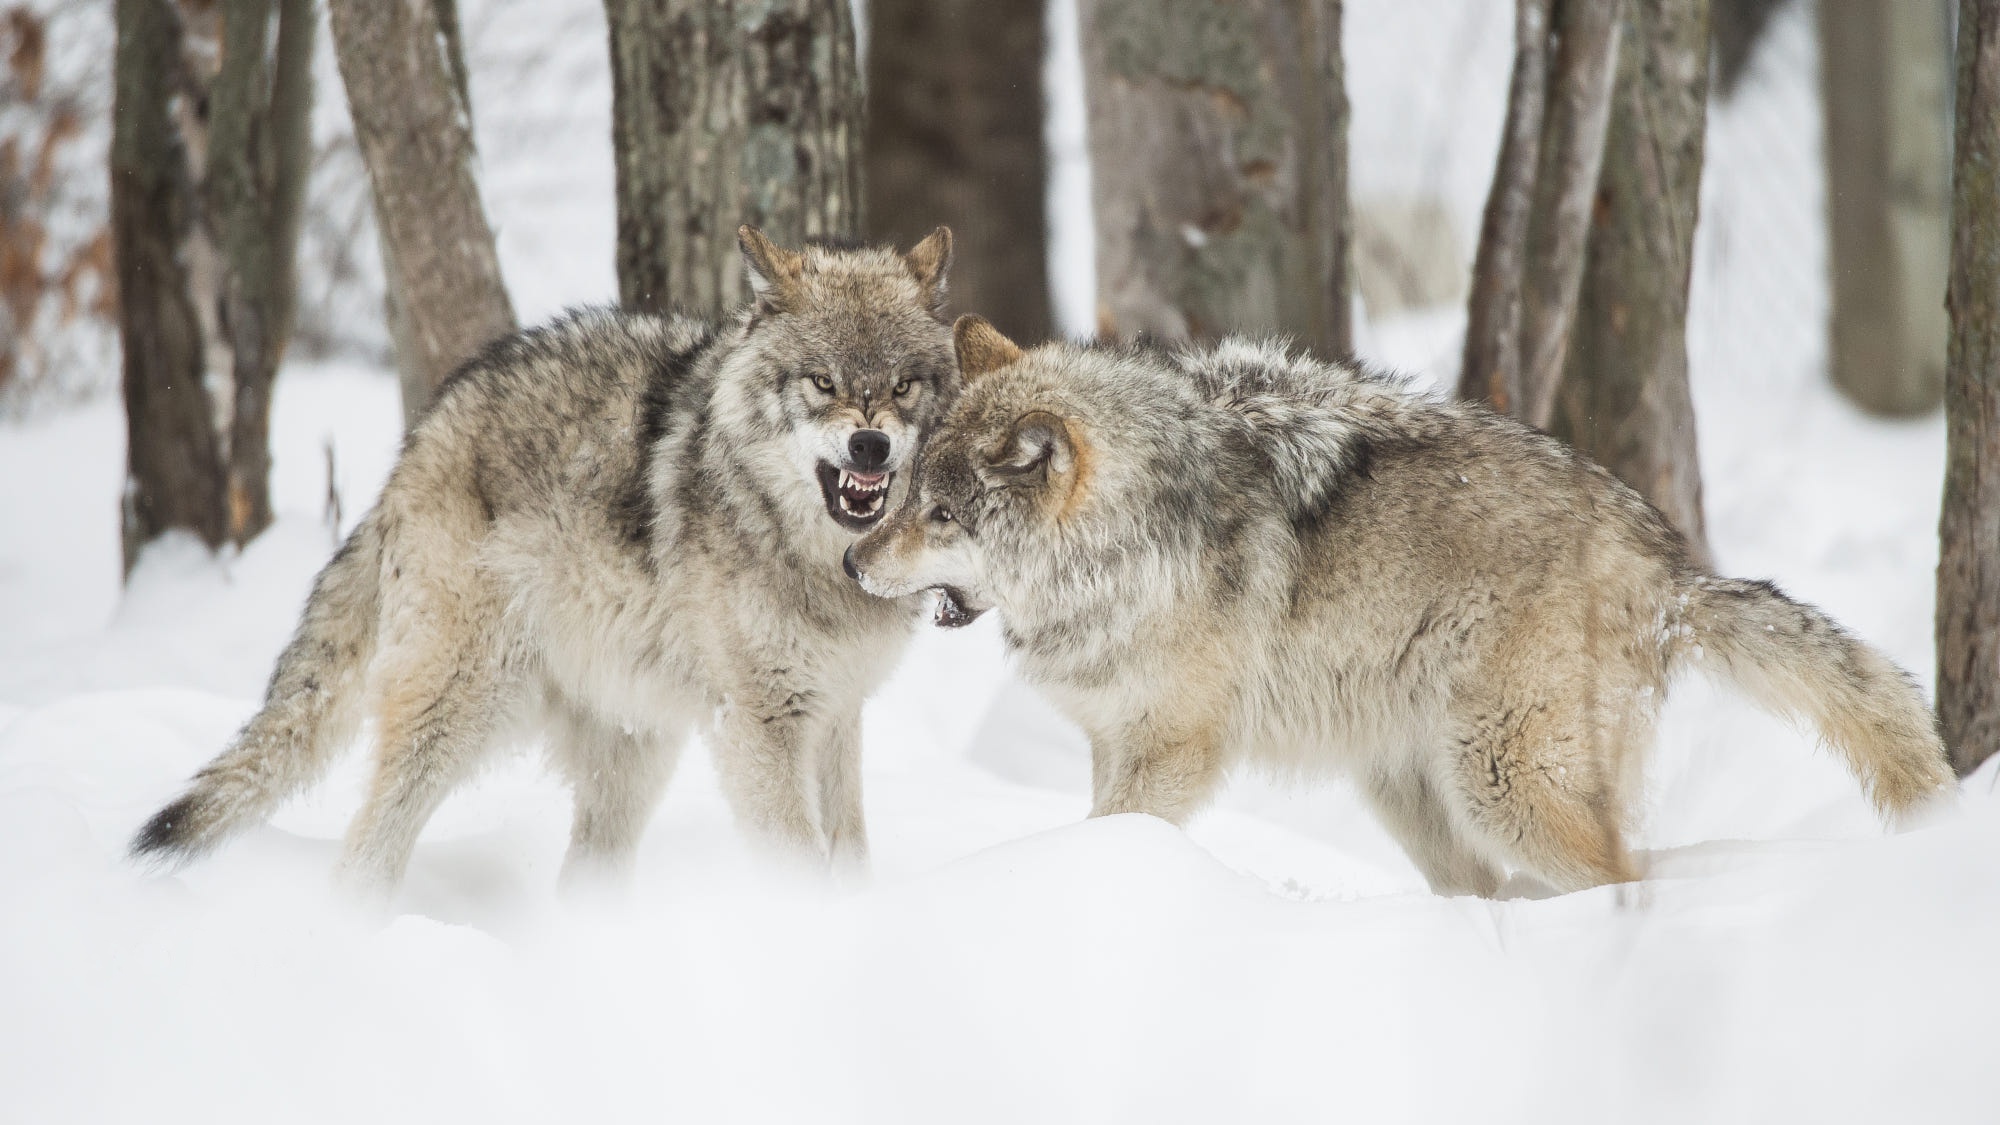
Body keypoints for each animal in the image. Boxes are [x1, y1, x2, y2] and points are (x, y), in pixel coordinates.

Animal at [133, 225, 960, 892]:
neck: (820, 562)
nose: (870, 446)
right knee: (363, 855)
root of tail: (421, 434)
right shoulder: (759, 724)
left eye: (902, 386)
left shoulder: (836, 712)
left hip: (633, 751)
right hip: (461, 711)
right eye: (823, 382)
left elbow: (850, 851)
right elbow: (800, 860)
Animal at [848, 316, 1952, 892]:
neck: (1132, 542)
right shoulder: (1113, 738)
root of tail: (1668, 570)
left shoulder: (1173, 749)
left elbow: (1111, 831)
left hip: (1503, 785)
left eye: (941, 514)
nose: (854, 563)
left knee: (1624, 876)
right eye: (902, 492)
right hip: (1417, 799)